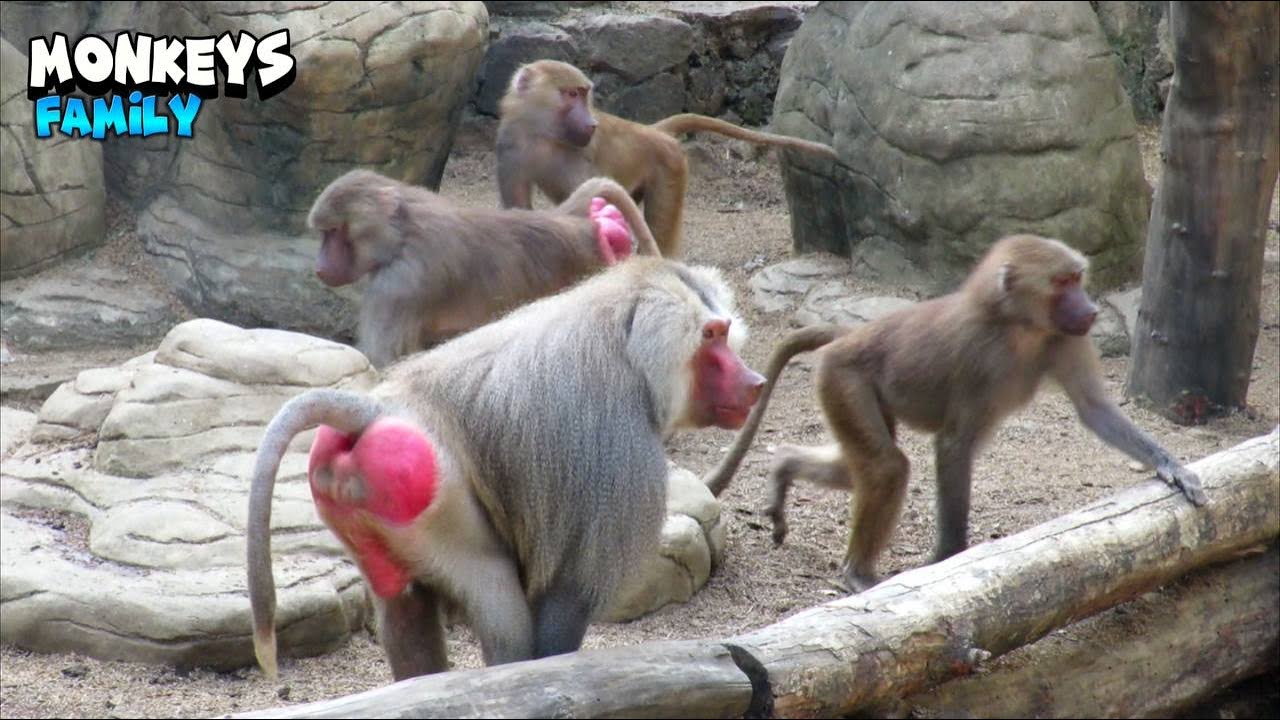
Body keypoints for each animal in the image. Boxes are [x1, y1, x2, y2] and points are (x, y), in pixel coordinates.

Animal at [247, 257, 766, 680]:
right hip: (443, 508)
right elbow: (568, 594)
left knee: (403, 607)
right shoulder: (618, 449)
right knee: (500, 608)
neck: (626, 348)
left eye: (723, 331)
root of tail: (374, 412)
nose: (755, 382)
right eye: (711, 337)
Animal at [308, 169, 661, 368]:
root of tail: (572, 222)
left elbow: (385, 363)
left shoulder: (398, 286)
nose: (320, 266)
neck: (403, 232)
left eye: (334, 232)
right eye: (325, 234)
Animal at [496, 59, 840, 257]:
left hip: (670, 165)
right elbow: (519, 212)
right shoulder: (511, 146)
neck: (544, 135)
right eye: (571, 94)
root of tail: (652, 132)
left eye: (584, 93)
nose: (591, 124)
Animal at [701, 234, 1207, 593]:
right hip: (844, 378)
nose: (1091, 310)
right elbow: (954, 443)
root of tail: (852, 334)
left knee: (858, 468)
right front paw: (949, 557)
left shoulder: (1064, 338)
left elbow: (1096, 410)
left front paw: (1172, 467)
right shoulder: (978, 358)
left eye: (1077, 278)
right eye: (1064, 283)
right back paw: (858, 573)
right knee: (886, 467)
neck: (1017, 326)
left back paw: (783, 467)